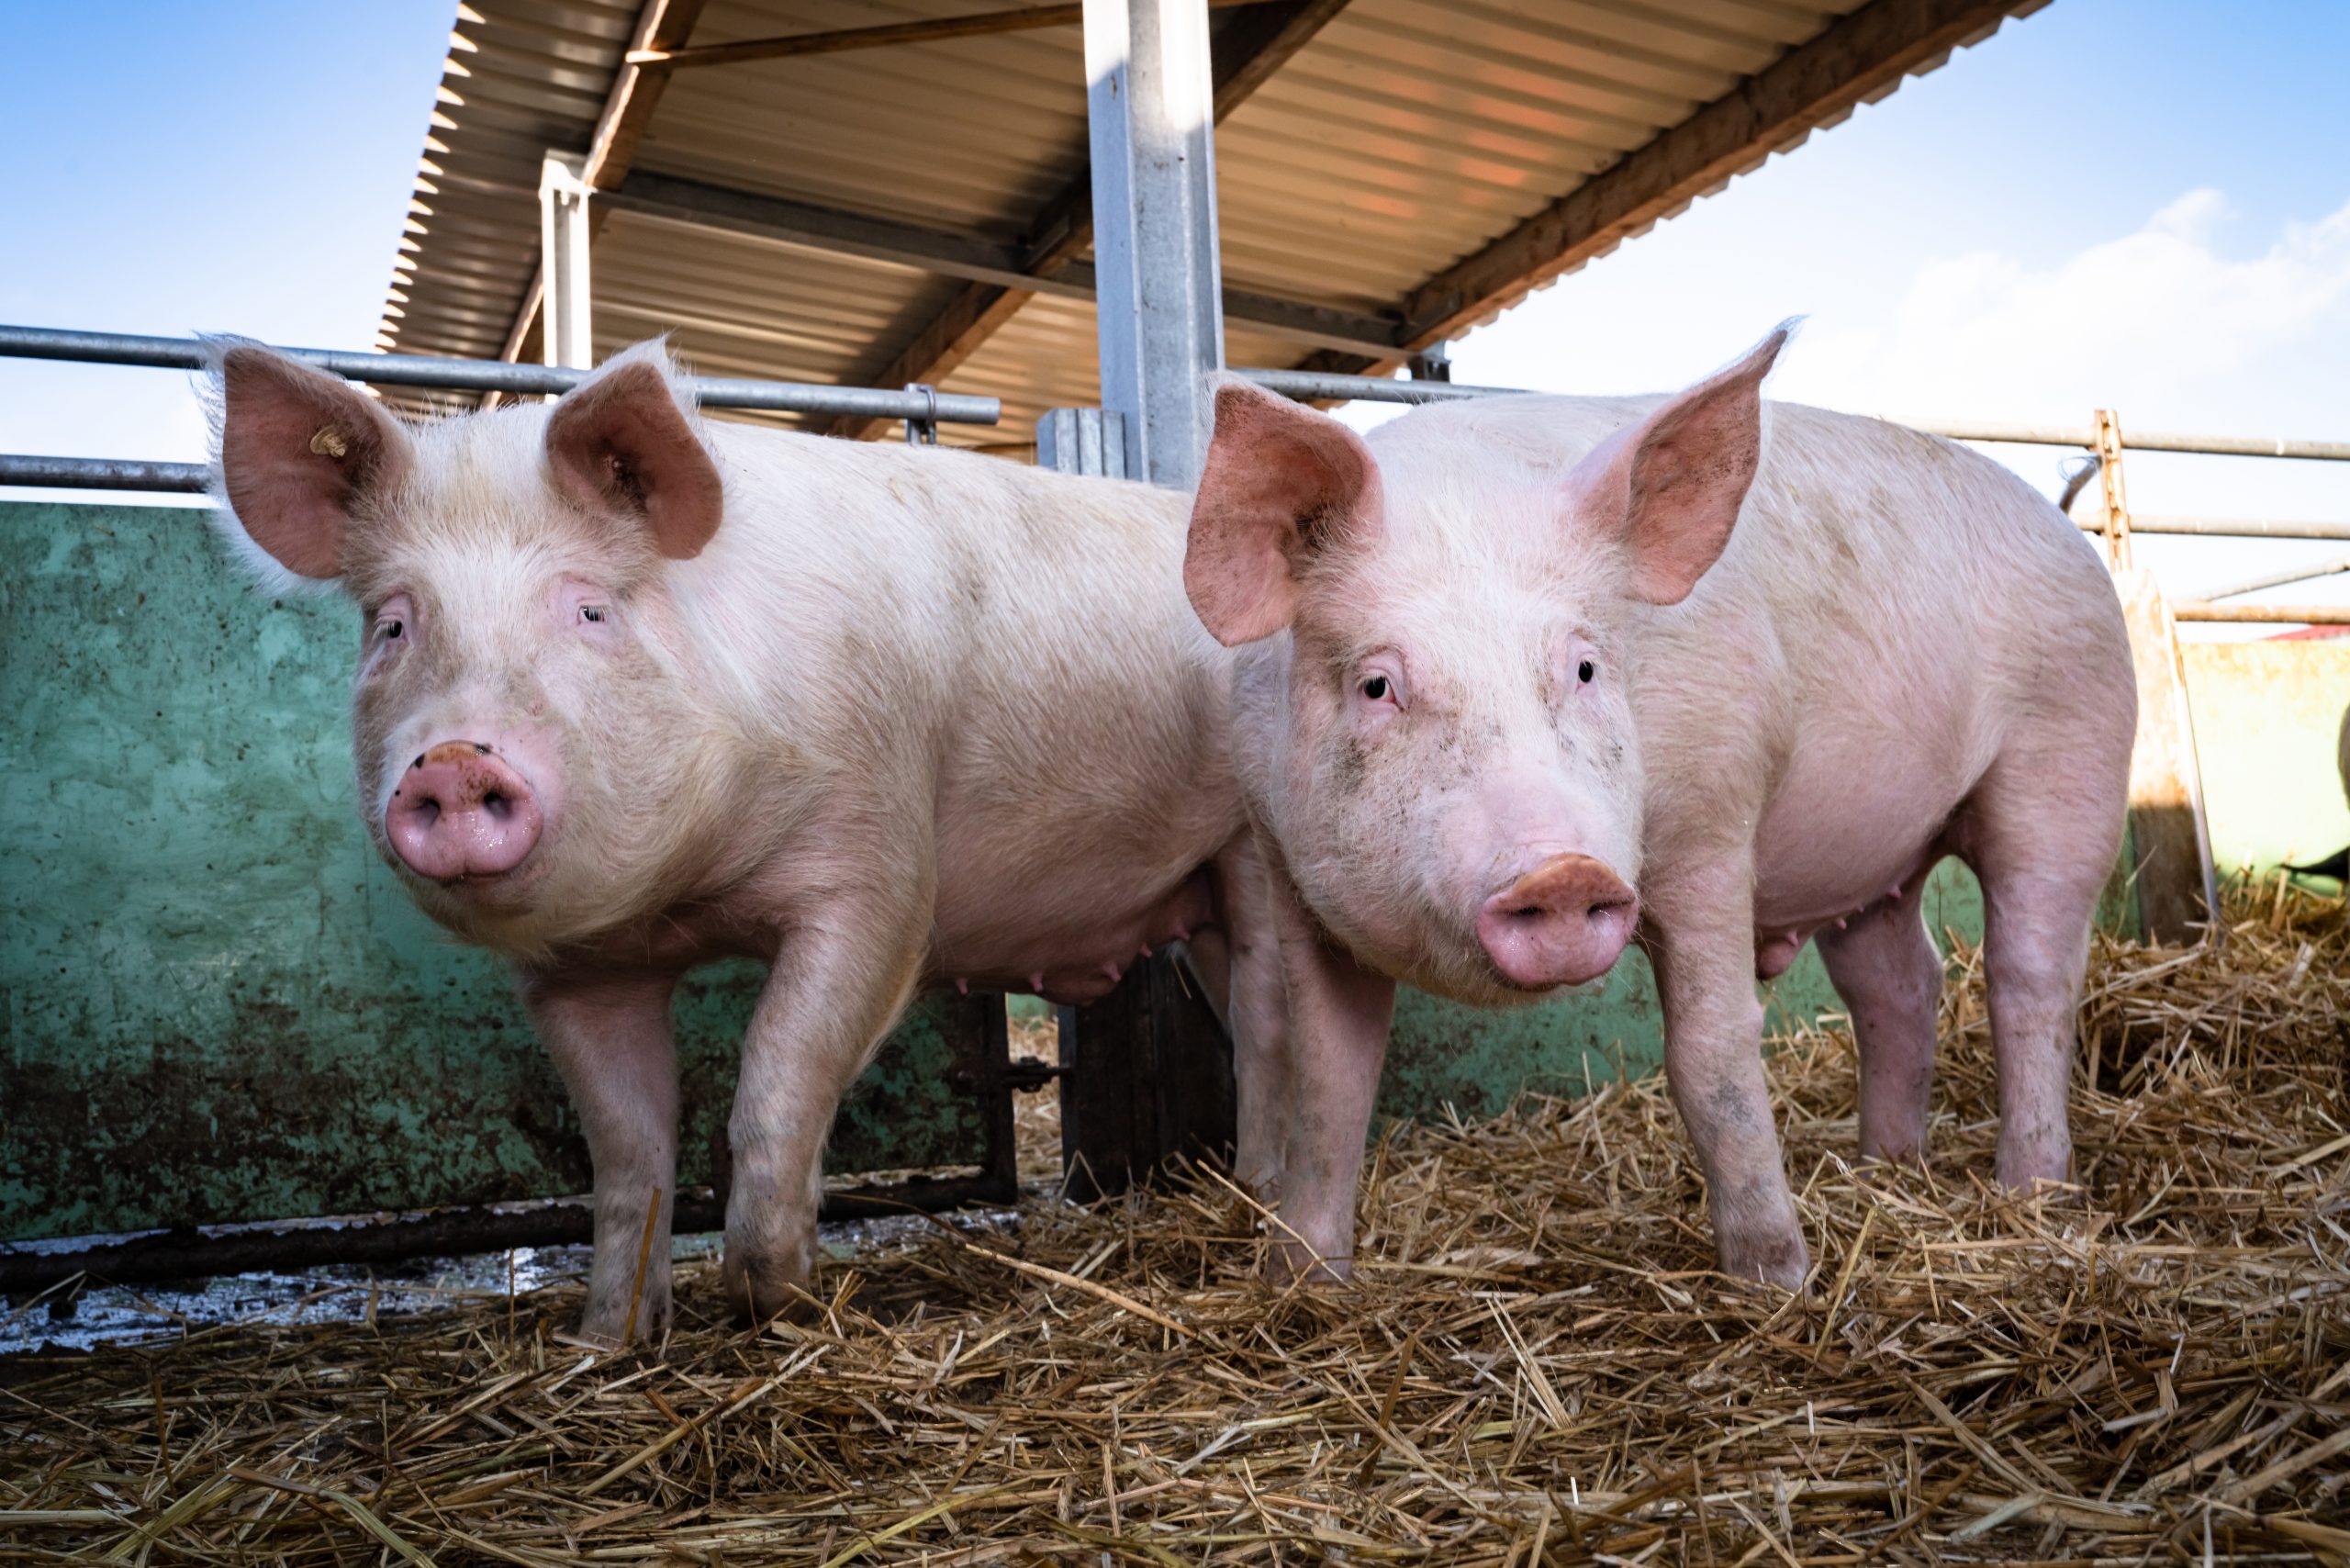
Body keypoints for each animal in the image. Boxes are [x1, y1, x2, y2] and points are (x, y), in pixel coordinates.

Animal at [207, 340, 1282, 1342]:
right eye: (393, 625)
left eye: (591, 608)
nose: (452, 760)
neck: (691, 900)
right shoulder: (574, 973)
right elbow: (625, 1151)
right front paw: (606, 1339)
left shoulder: (879, 867)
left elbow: (776, 1080)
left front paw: (776, 1296)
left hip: (1261, 851)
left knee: (1271, 1031)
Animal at [1184, 327, 2137, 1287]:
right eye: (1377, 685)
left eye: (1585, 667)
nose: (1562, 872)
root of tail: (2073, 539)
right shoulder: (1284, 863)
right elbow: (1329, 1077)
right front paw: (1303, 1277)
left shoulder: (1716, 821)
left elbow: (1712, 1053)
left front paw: (1777, 1281)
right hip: (1876, 853)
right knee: (1900, 983)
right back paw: (1884, 1170)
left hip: (2074, 748)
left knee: (2031, 972)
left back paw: (2034, 1198)